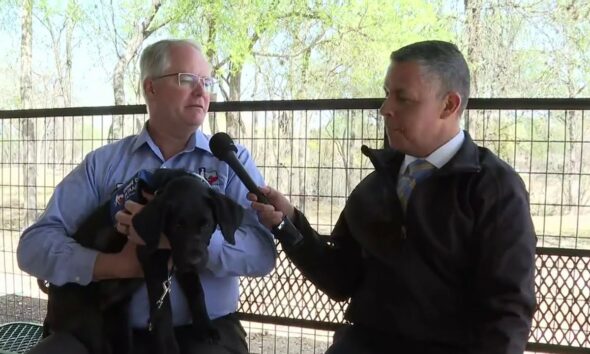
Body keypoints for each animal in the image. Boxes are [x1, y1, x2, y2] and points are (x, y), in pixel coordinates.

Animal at [42, 169, 245, 354]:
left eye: (207, 224)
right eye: (177, 226)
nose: (194, 261)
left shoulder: (181, 260)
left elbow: (197, 291)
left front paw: (205, 327)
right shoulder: (153, 259)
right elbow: (163, 311)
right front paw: (169, 349)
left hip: (119, 319)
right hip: (88, 324)